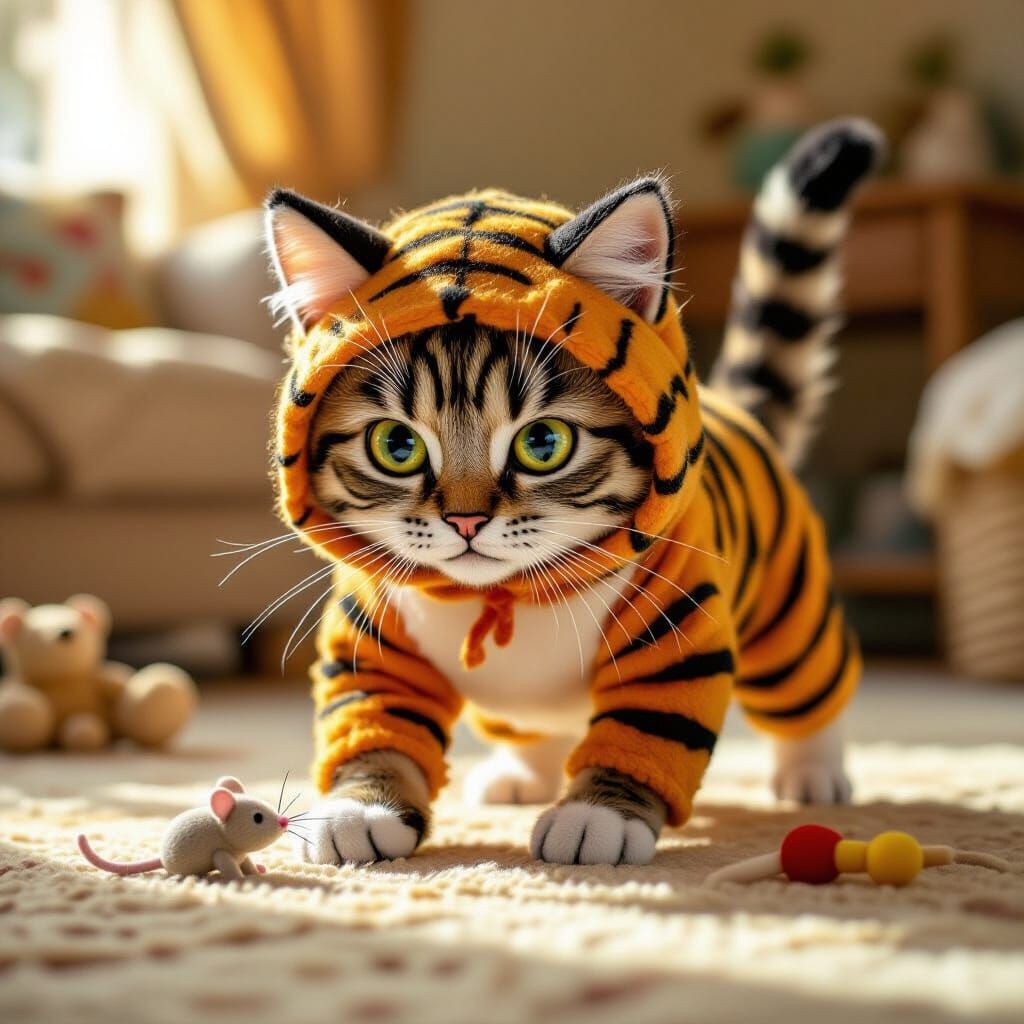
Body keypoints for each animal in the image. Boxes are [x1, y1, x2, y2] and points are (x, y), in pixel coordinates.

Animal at [264, 118, 883, 866]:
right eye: (397, 446)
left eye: (542, 442)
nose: (465, 520)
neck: (506, 598)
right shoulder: (373, 635)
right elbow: (373, 716)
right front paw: (360, 804)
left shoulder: (678, 630)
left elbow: (650, 725)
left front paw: (599, 813)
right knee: (532, 727)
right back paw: (520, 774)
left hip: (790, 611)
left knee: (810, 692)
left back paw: (813, 771)